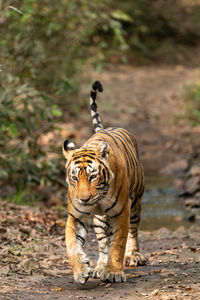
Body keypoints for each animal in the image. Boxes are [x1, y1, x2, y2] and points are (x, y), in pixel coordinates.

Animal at [62, 81, 145, 284]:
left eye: (93, 176)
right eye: (75, 177)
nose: (84, 199)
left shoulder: (122, 211)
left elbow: (118, 243)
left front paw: (114, 272)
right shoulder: (76, 215)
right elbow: (71, 244)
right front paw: (81, 270)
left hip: (136, 203)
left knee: (133, 230)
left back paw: (134, 255)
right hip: (99, 221)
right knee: (103, 244)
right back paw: (99, 267)